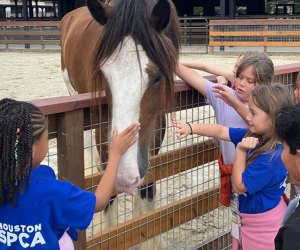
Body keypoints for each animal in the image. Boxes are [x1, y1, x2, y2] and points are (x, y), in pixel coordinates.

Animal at [59, 0, 179, 247]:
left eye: (157, 77)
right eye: (104, 75)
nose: (124, 172)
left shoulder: (152, 144)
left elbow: (147, 195)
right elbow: (109, 201)